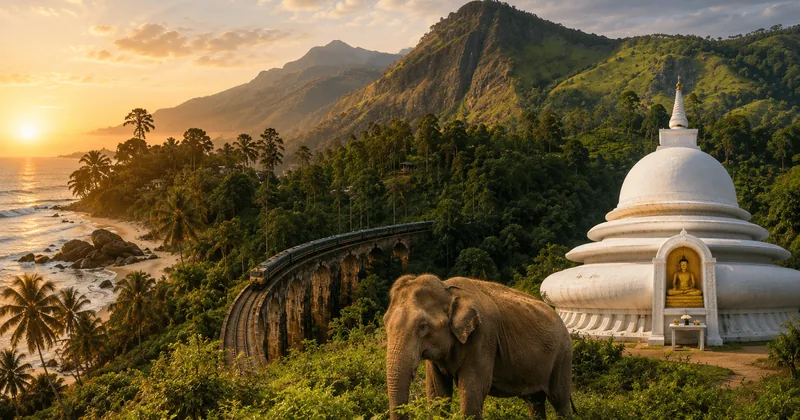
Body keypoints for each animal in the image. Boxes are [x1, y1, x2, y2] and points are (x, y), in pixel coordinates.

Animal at [383, 274, 574, 419]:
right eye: (385, 323)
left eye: (422, 327)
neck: (447, 289)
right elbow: (437, 393)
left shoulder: (483, 336)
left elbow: (473, 391)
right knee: (534, 401)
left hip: (563, 354)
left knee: (559, 400)